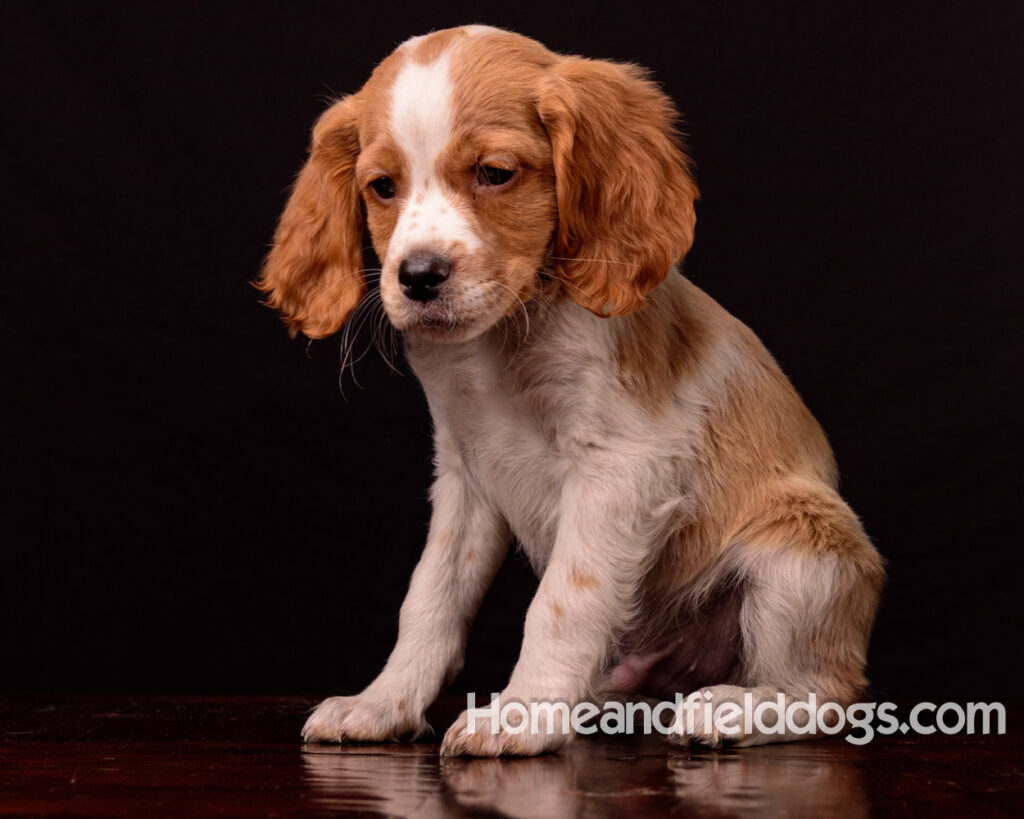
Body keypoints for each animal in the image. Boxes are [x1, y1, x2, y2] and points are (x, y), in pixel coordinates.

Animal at [258, 25, 888, 753]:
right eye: (381, 186)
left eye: (495, 173)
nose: (416, 276)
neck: (501, 345)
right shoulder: (465, 474)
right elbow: (429, 598)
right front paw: (383, 702)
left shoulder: (620, 465)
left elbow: (562, 600)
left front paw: (522, 713)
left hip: (800, 556)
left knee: (830, 690)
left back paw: (734, 707)